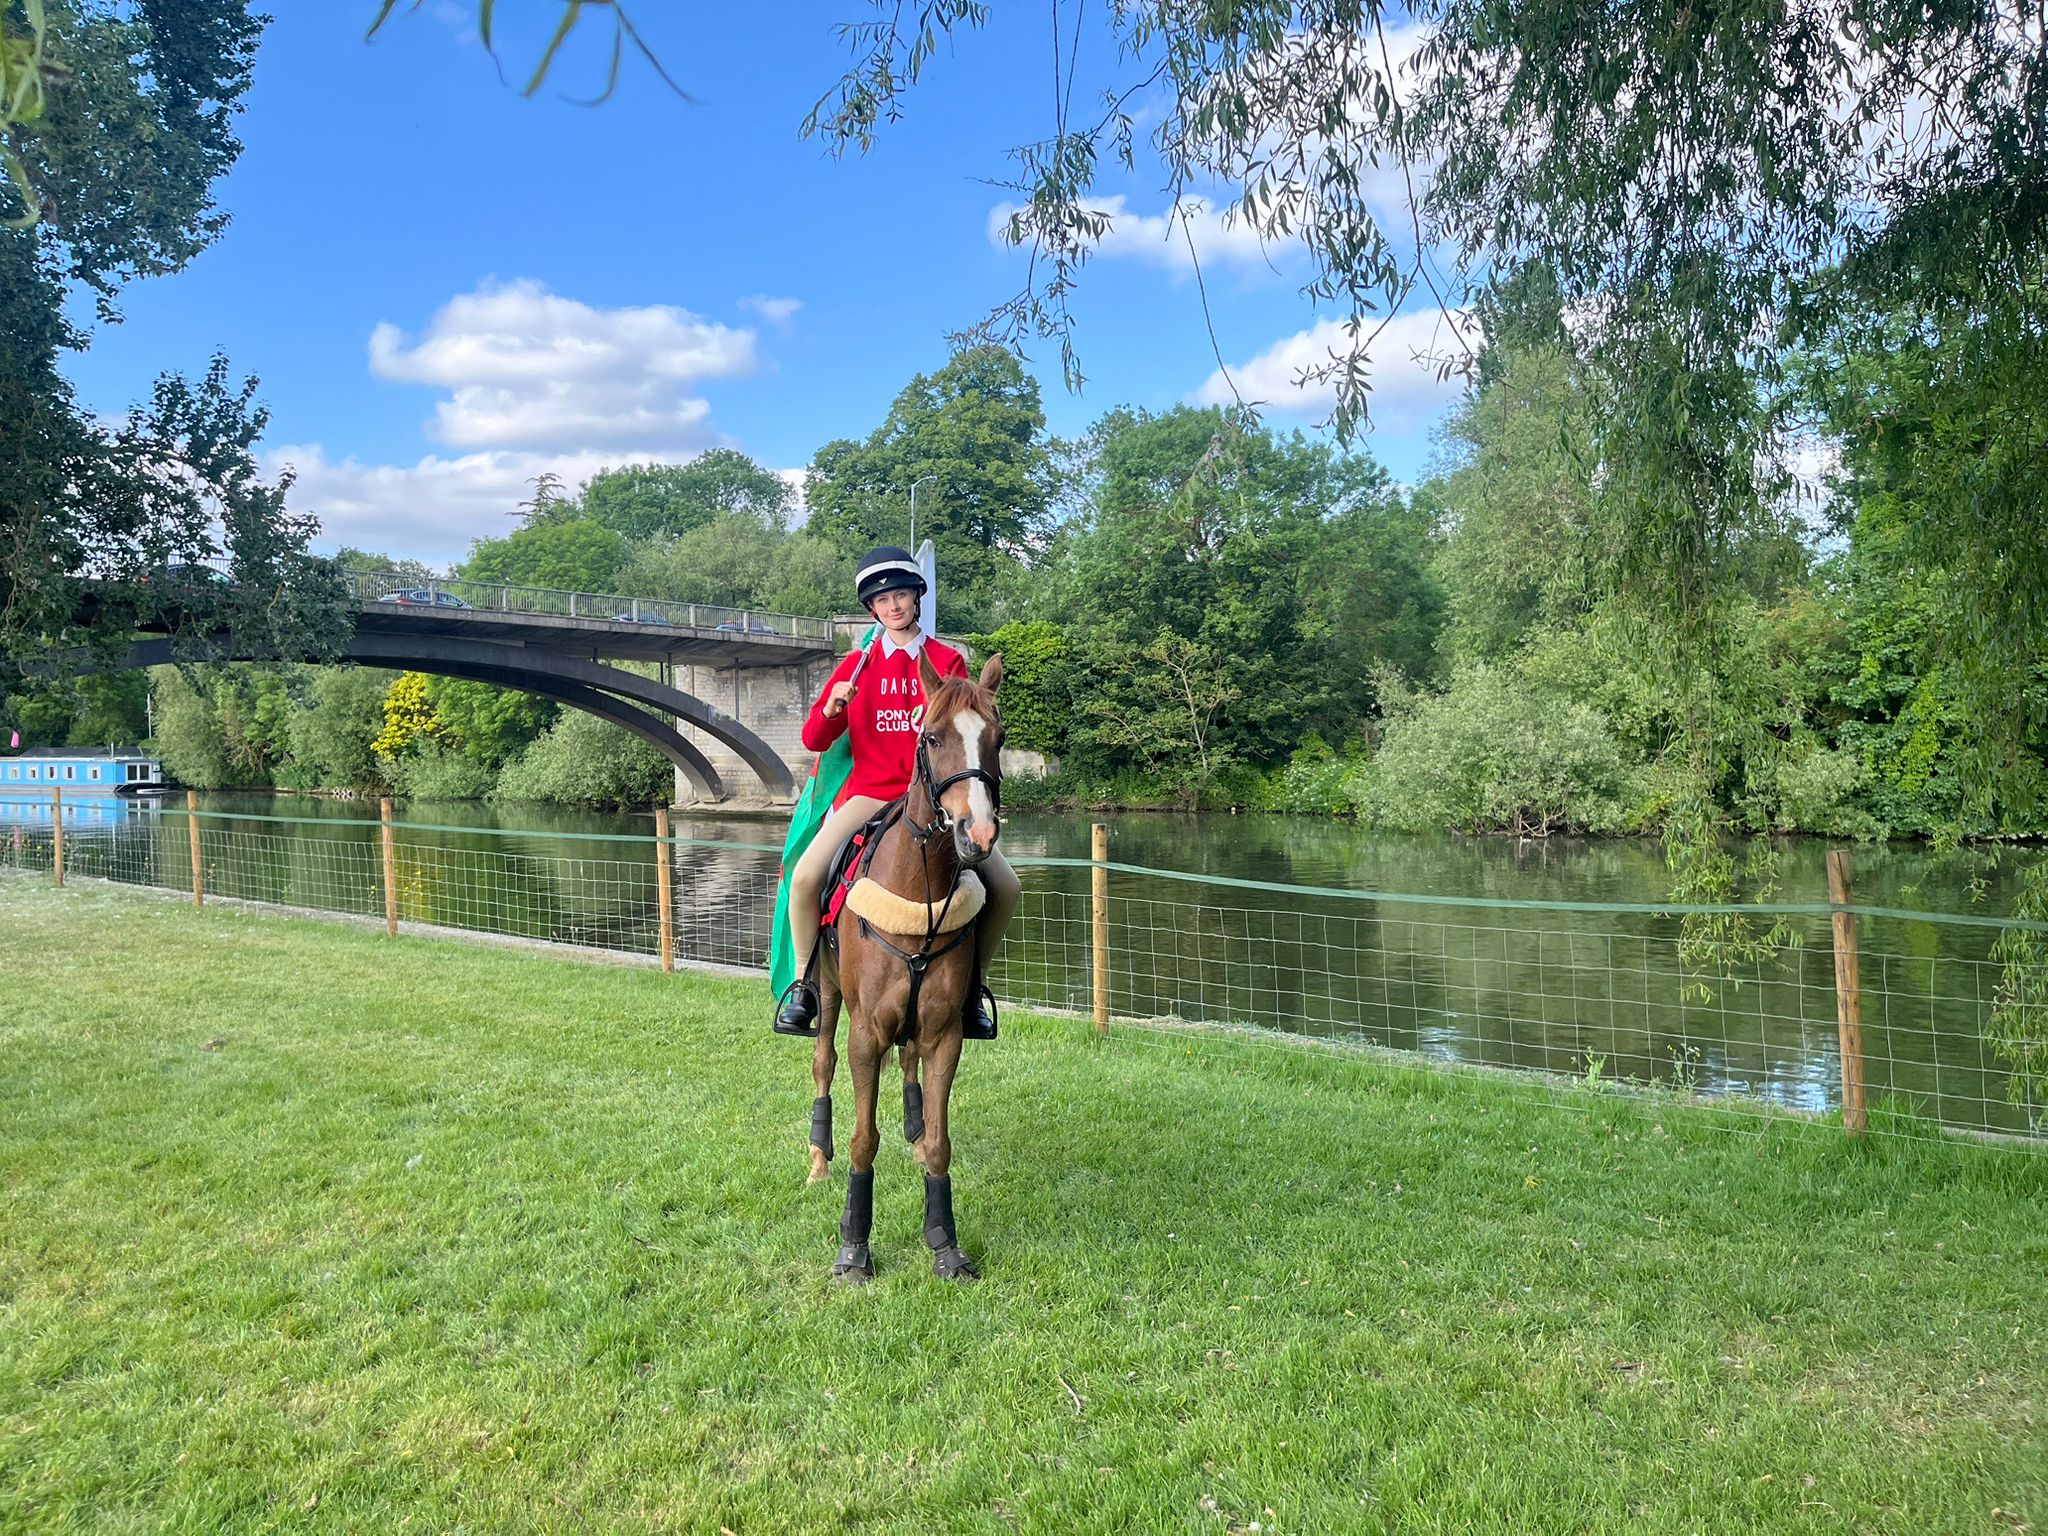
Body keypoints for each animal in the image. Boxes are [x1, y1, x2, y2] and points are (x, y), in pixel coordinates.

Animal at [802, 648, 1004, 1284]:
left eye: (998, 738)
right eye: (932, 737)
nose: (977, 832)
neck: (919, 888)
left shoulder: (943, 1034)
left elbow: (941, 1143)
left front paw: (944, 1243)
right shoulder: (866, 1033)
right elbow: (863, 1140)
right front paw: (854, 1248)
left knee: (910, 1067)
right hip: (827, 995)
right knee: (822, 1060)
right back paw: (817, 1156)